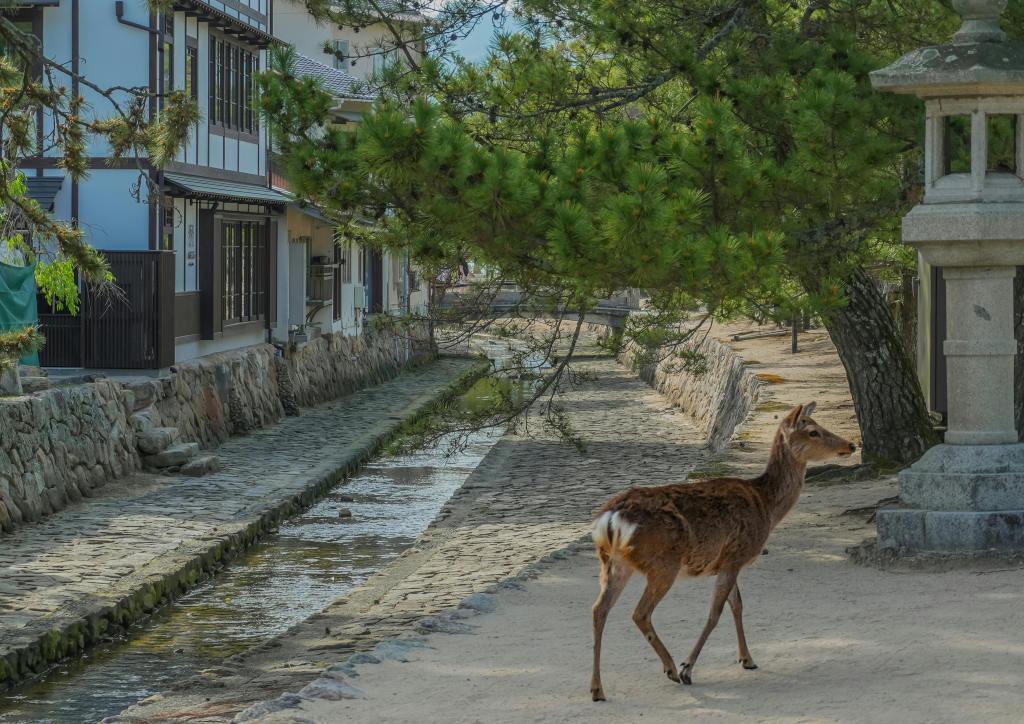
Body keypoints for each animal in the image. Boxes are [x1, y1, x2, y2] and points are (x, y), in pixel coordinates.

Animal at [589, 402, 856, 702]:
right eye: (813, 431)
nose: (851, 444)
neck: (766, 506)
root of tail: (610, 518)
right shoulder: (736, 555)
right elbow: (715, 612)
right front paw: (688, 668)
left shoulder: (728, 561)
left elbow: (737, 605)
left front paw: (747, 659)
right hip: (663, 564)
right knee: (639, 613)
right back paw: (671, 668)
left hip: (613, 564)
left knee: (599, 610)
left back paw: (597, 689)